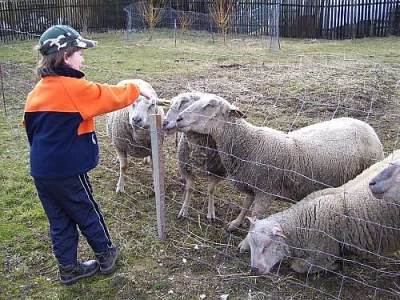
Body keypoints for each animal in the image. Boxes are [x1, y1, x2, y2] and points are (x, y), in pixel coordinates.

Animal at [162, 92, 225, 221]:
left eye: (184, 102)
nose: (164, 123)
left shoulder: (218, 172)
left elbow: (211, 190)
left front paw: (211, 213)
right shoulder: (185, 167)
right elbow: (189, 188)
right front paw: (184, 210)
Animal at [177, 95, 386, 231]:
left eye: (210, 105)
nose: (179, 118)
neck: (249, 144)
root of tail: (368, 127)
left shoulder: (266, 190)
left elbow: (255, 216)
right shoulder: (250, 184)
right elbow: (245, 206)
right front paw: (235, 224)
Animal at [245, 150, 400, 274]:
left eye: (266, 246)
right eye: (251, 246)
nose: (254, 270)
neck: (304, 221)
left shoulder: (324, 252)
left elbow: (299, 267)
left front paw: (334, 266)